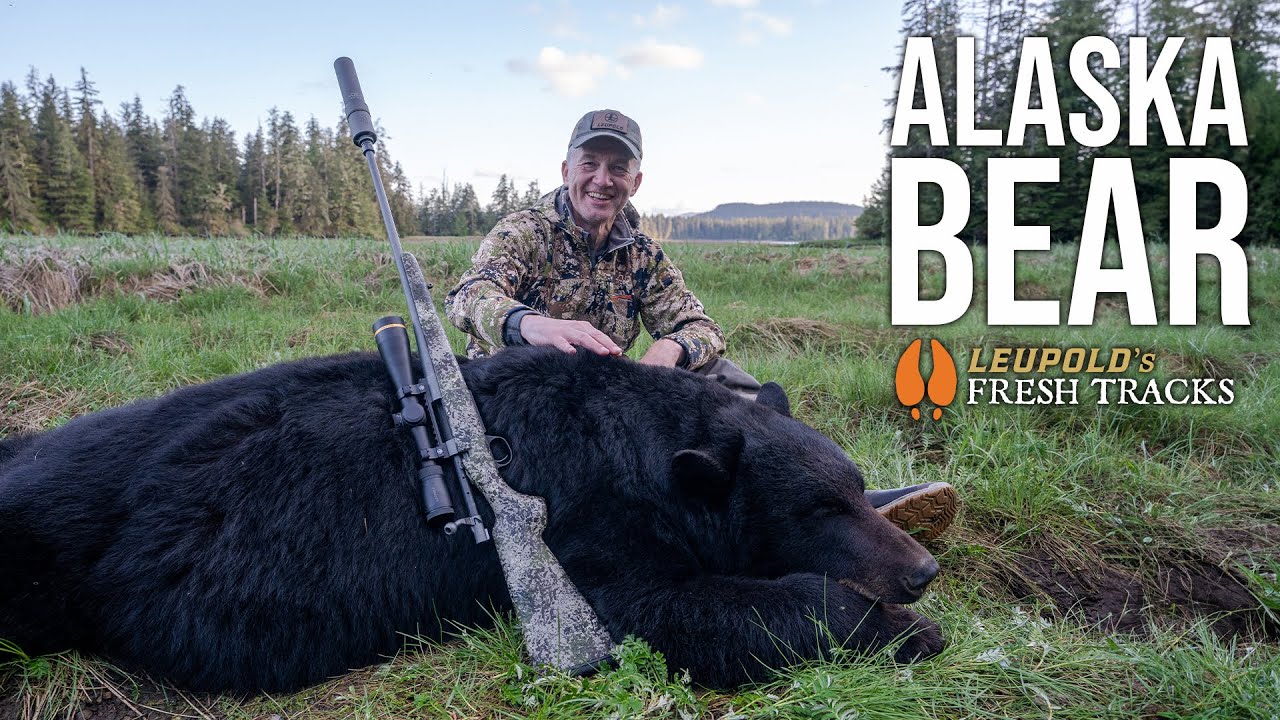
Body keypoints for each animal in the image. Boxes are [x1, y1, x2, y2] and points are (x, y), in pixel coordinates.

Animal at [0, 346, 943, 692]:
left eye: (856, 483)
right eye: (818, 508)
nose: (922, 570)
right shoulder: (586, 525)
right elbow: (665, 612)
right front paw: (900, 630)